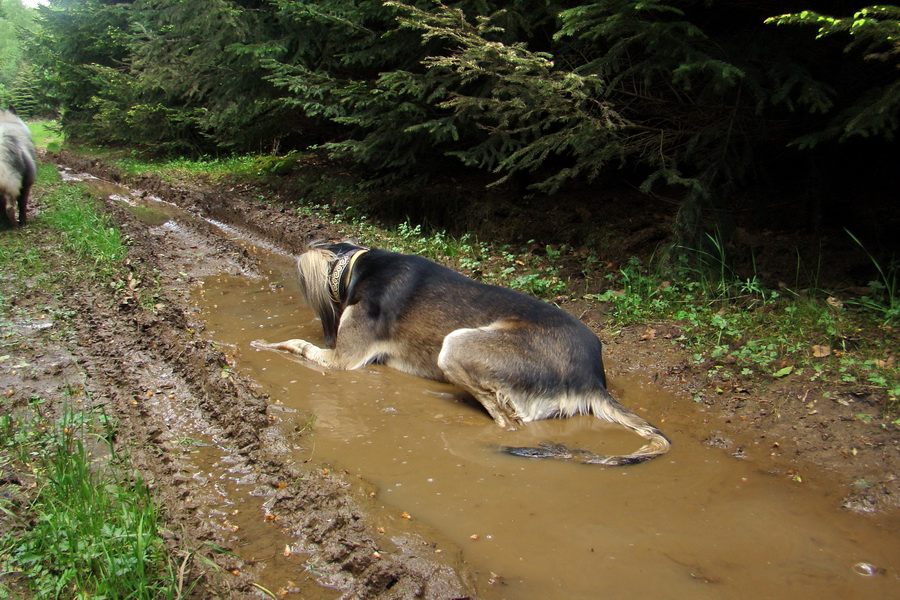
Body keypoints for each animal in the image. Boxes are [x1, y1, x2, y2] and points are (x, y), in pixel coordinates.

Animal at [253, 241, 668, 466]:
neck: (357, 265)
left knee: (509, 420)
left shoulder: (341, 360)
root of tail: (592, 379)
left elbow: (298, 345)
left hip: (455, 345)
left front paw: (265, 345)